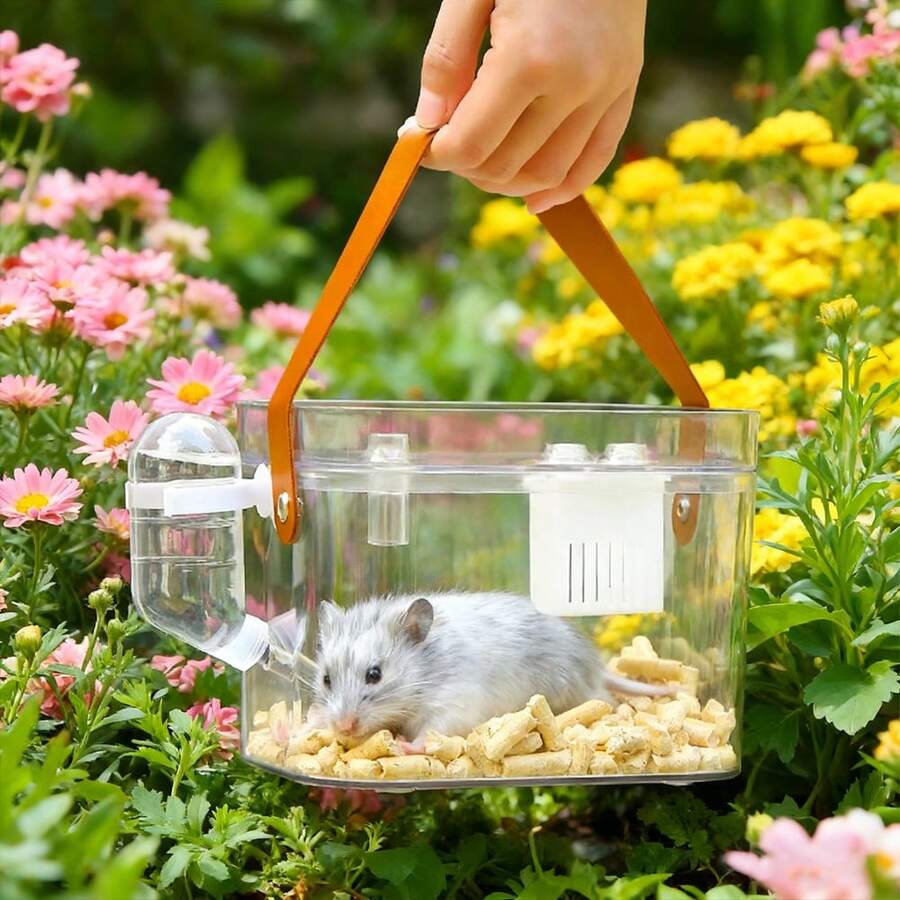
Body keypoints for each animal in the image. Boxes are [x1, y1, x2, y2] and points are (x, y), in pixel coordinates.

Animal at [311, 591, 671, 745]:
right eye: (326, 678)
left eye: (375, 675)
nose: (343, 728)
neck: (428, 668)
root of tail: (597, 666)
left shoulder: (454, 706)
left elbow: (429, 734)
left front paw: (402, 746)